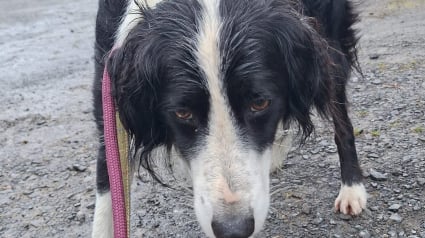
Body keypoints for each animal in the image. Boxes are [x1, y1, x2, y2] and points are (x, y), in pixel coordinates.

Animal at [91, 0, 366, 236]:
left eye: (260, 103)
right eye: (182, 113)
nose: (234, 230)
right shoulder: (109, 101)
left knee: (341, 118)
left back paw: (352, 188)